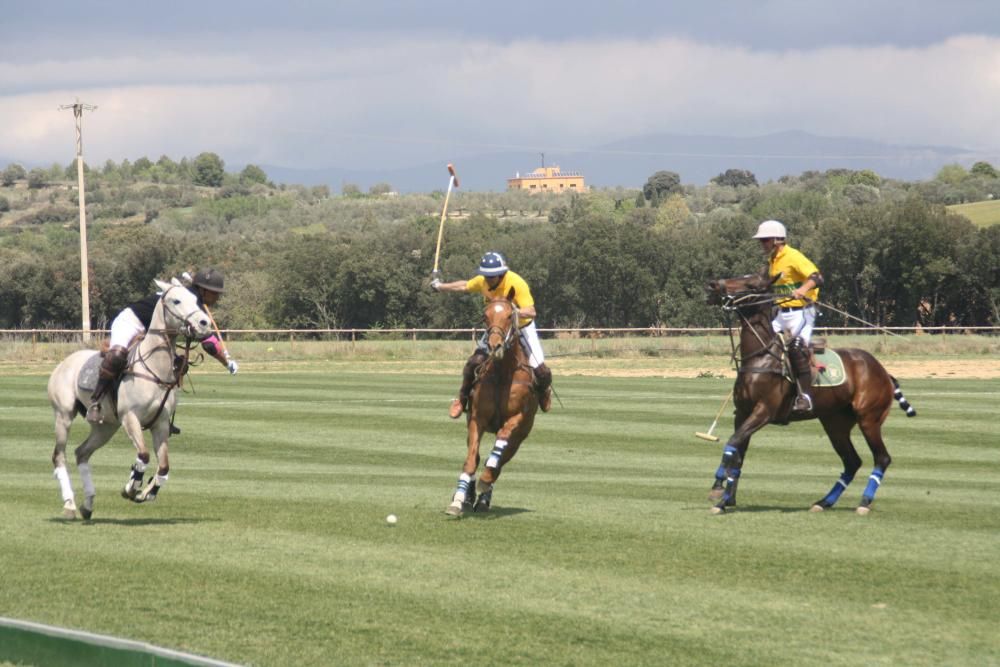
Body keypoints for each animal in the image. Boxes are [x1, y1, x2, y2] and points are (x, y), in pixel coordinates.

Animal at [47, 280, 214, 520]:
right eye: (176, 300)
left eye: (197, 300)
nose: (204, 323)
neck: (155, 368)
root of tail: (63, 363)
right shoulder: (130, 417)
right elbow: (143, 455)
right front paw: (131, 487)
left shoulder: (160, 424)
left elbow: (164, 466)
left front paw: (147, 492)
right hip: (63, 415)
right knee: (59, 456)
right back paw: (69, 505)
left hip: (105, 427)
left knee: (81, 453)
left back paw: (88, 504)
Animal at [448, 292, 540, 516]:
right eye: (485, 316)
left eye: (509, 316)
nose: (494, 346)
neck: (503, 374)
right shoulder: (477, 419)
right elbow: (471, 460)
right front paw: (459, 499)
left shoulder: (516, 419)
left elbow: (498, 451)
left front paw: (484, 482)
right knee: (479, 458)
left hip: (521, 436)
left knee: (500, 462)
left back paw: (484, 495)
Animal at [704, 272, 916, 516]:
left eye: (751, 284)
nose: (712, 285)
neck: (761, 357)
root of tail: (884, 372)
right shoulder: (742, 412)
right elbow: (738, 451)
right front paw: (725, 497)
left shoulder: (764, 411)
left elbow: (733, 442)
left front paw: (719, 491)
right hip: (835, 423)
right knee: (852, 461)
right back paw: (824, 502)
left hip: (869, 418)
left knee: (882, 458)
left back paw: (864, 502)